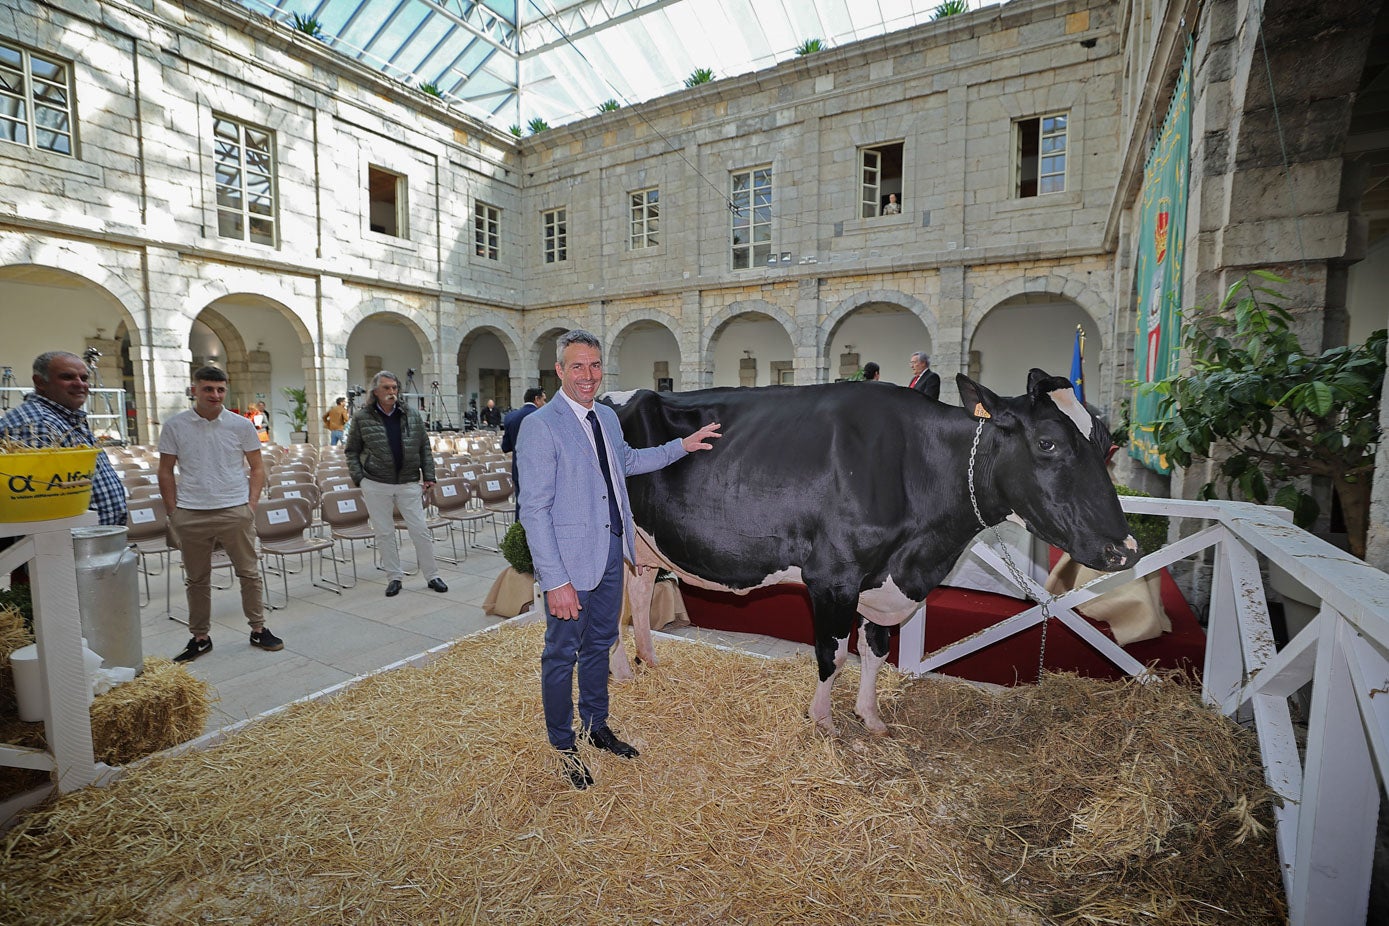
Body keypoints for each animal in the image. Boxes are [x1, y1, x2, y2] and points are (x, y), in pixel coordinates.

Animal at [608, 372, 1138, 738]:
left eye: (1105, 443)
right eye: (1047, 443)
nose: (1126, 549)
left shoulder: (884, 582)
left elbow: (876, 651)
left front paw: (871, 717)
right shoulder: (833, 577)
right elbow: (833, 654)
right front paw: (823, 722)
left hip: (644, 547)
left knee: (637, 594)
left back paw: (646, 662)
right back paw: (623, 673)